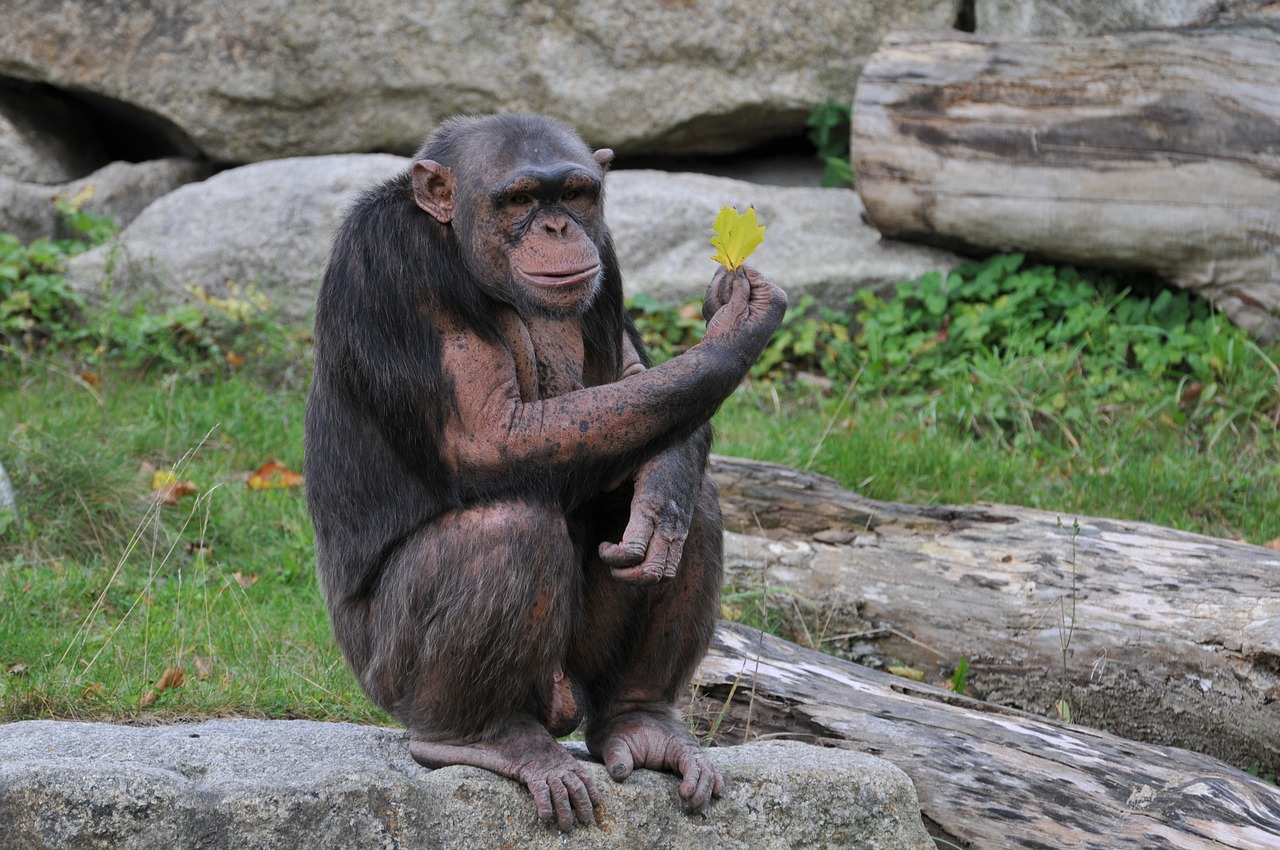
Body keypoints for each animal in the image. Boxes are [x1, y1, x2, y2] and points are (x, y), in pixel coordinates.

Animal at [304, 112, 783, 829]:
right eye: (522, 199)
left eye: (576, 195)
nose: (557, 227)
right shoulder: (391, 261)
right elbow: (486, 434)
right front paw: (735, 327)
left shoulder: (605, 251)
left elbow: (634, 380)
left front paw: (663, 495)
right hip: (384, 674)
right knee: (506, 528)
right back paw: (481, 736)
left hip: (575, 676)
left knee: (696, 509)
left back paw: (642, 719)